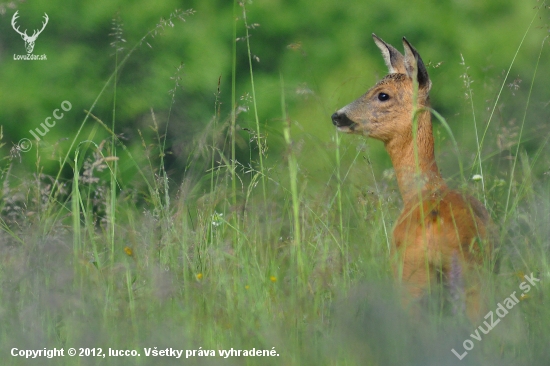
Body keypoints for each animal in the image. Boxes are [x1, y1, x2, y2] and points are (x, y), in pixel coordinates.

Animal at [334, 34, 498, 318]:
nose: (337, 116)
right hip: (471, 275)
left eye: (382, 95)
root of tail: (434, 223)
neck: (424, 189)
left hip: (410, 276)